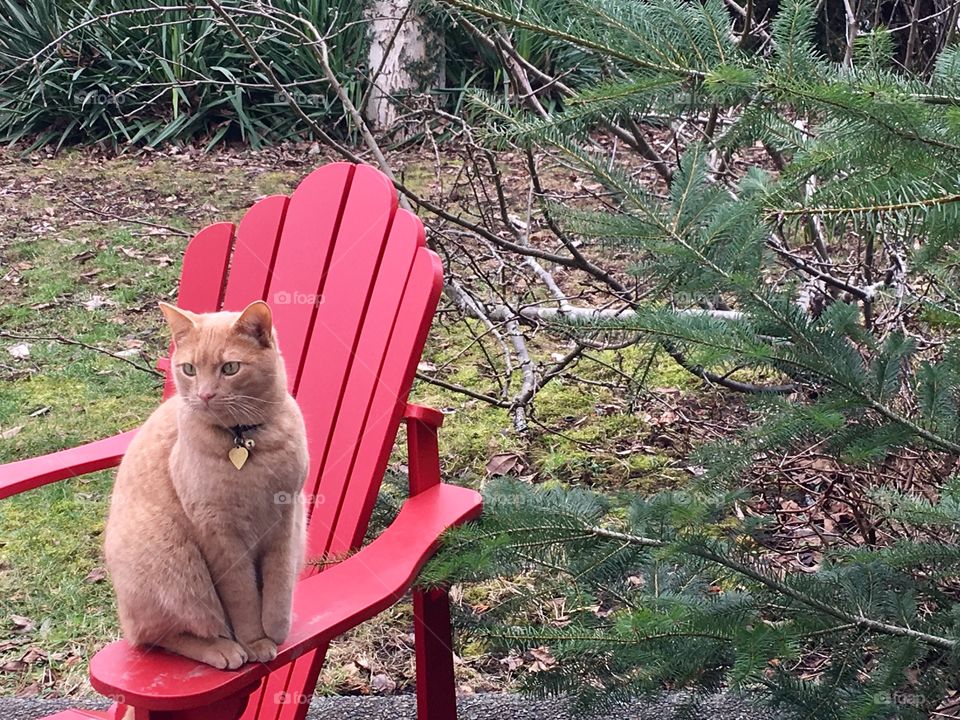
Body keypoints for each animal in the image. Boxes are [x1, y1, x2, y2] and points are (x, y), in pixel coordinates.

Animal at [105, 302, 308, 668]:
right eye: (189, 369)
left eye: (230, 368)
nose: (205, 394)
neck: (244, 442)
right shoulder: (220, 535)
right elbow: (243, 599)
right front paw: (254, 641)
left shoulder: (286, 520)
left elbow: (279, 586)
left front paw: (276, 629)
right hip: (173, 561)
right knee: (159, 636)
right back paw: (222, 649)